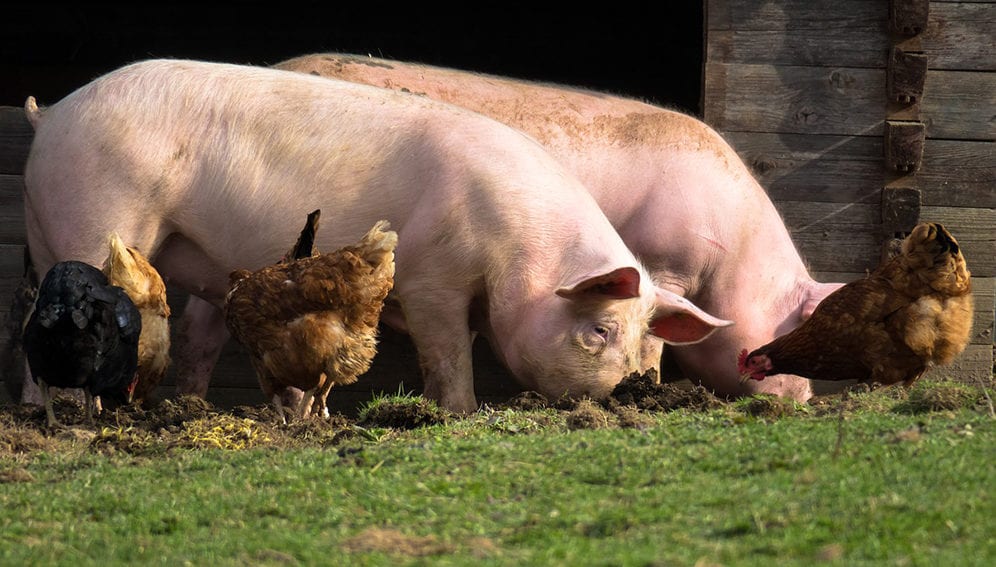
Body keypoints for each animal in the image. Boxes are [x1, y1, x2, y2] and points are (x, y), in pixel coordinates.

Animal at [22, 58, 732, 413]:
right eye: (600, 330)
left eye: (642, 337)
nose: (631, 393)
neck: (519, 252)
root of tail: (52, 114)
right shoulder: (432, 281)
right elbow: (447, 354)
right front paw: (458, 414)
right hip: (99, 213)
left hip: (45, 230)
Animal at [272, 53, 847, 402]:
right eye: (792, 330)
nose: (803, 400)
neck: (732, 257)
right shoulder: (662, 263)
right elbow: (653, 339)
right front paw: (651, 388)